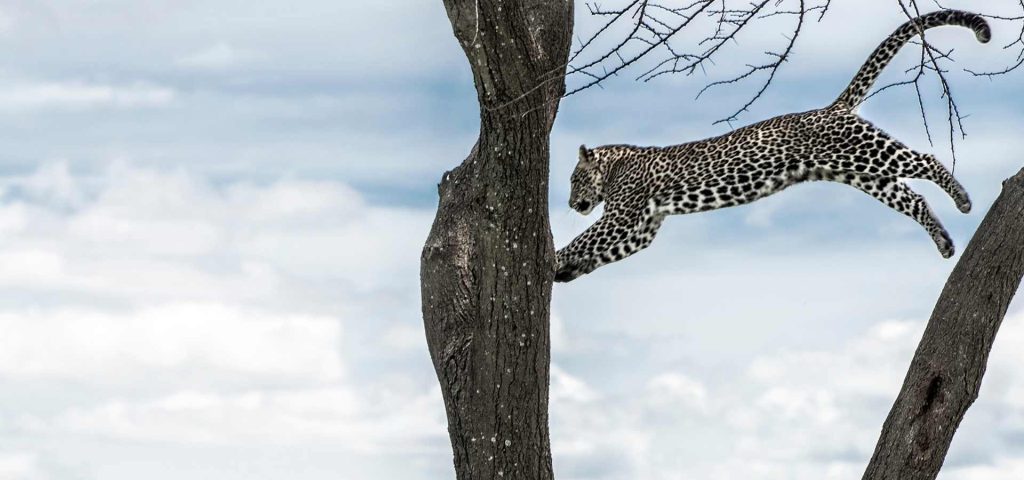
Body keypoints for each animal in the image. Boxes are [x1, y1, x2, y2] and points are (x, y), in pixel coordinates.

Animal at [554, 9, 990, 283]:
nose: (572, 204)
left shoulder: (623, 216)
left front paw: (554, 258)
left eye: (575, 180)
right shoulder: (643, 227)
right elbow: (599, 253)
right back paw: (944, 242)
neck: (614, 166)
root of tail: (833, 107)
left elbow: (584, 239)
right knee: (911, 198)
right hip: (861, 173)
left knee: (926, 159)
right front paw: (564, 272)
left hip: (865, 150)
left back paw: (963, 199)